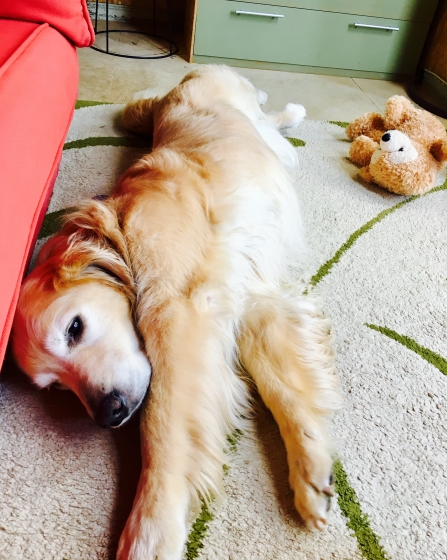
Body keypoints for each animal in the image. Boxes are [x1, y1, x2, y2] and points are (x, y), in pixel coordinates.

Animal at [12, 65, 341, 560]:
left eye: (75, 328)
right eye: (55, 387)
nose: (108, 414)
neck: (124, 229)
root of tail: (184, 78)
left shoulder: (180, 310)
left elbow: (161, 427)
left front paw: (152, 529)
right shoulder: (244, 296)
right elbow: (282, 385)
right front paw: (310, 469)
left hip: (235, 99)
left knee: (263, 109)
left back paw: (290, 108)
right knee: (269, 127)